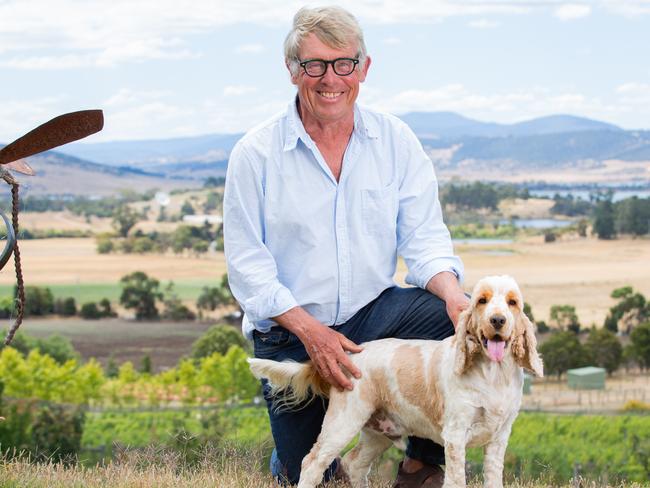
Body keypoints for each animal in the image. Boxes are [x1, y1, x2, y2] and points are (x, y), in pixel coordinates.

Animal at [248, 276, 540, 486]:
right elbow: (457, 480)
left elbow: (493, 477)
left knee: (354, 463)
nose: (497, 320)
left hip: (378, 432)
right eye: (481, 300)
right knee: (311, 462)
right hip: (344, 421)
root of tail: (349, 354)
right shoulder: (456, 435)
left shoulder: (500, 436)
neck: (493, 375)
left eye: (512, 302)